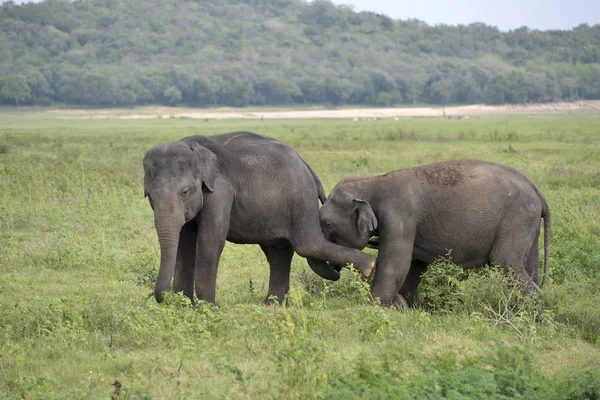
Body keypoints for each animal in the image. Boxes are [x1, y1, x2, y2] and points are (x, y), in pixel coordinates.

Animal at [143, 130, 376, 304]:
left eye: (184, 192)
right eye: (149, 196)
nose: (163, 298)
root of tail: (307, 166)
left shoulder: (220, 192)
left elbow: (211, 241)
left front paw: (208, 308)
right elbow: (184, 242)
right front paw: (184, 307)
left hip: (301, 200)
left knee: (308, 245)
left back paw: (370, 268)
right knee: (278, 251)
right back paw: (272, 304)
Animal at [318, 159, 552, 306]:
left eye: (327, 224)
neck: (372, 181)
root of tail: (536, 188)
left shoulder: (399, 216)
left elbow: (395, 265)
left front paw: (376, 307)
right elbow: (414, 266)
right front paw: (414, 308)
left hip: (517, 218)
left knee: (505, 262)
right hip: (528, 222)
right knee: (529, 266)